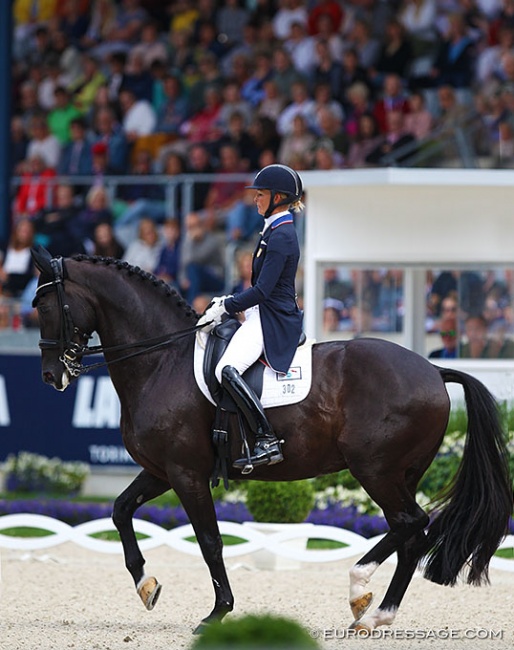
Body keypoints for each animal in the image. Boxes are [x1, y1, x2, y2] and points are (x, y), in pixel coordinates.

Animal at [30, 248, 510, 632]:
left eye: (44, 305)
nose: (52, 376)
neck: (161, 361)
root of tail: (434, 370)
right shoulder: (161, 470)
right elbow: (120, 510)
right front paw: (147, 585)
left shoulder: (186, 473)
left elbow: (209, 541)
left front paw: (218, 612)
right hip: (402, 472)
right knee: (410, 532)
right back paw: (373, 612)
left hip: (375, 469)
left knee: (412, 524)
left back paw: (361, 592)